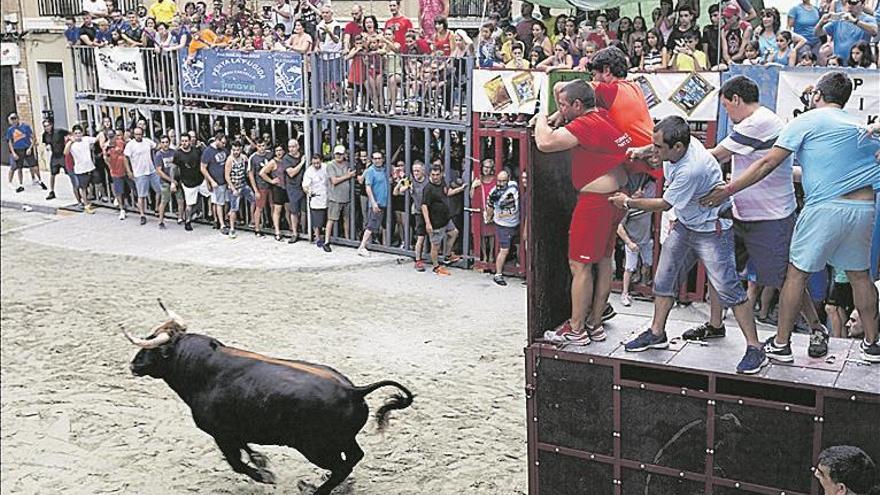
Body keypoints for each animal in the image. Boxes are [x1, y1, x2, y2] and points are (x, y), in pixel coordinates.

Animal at [128, 326, 416, 495]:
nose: (133, 365)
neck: (203, 370)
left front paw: (264, 475)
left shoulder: (221, 434)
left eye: (150, 349)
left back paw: (315, 489)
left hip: (316, 447)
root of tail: (353, 390)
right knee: (353, 458)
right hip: (341, 441)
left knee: (341, 466)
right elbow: (247, 451)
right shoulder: (235, 432)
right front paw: (261, 462)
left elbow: (237, 463)